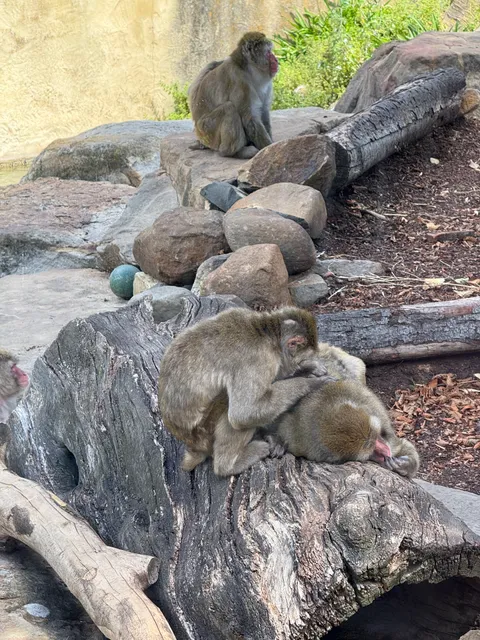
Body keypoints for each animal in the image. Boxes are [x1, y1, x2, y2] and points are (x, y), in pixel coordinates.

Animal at [158, 307, 333, 477]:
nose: (299, 365)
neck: (268, 335)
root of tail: (192, 446)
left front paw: (308, 369)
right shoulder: (257, 359)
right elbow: (244, 413)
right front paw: (311, 383)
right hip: (204, 433)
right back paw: (229, 466)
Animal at [266, 379, 420, 479]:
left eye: (377, 437)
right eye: (373, 450)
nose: (386, 451)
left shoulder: (381, 424)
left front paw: (404, 465)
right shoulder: (298, 440)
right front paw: (277, 441)